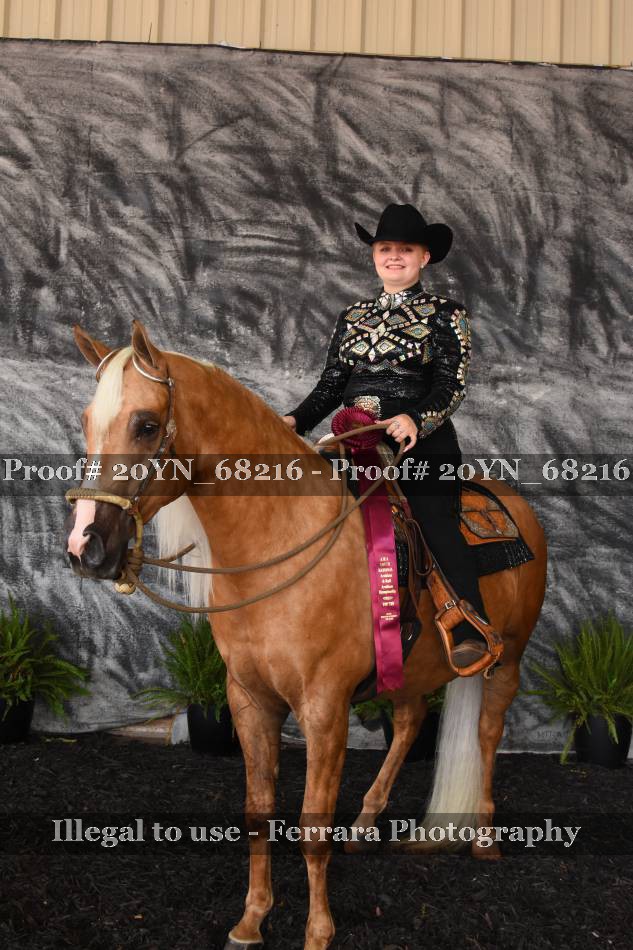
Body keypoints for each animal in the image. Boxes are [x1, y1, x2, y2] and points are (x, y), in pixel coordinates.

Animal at [64, 320, 547, 950]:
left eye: (146, 424)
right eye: (86, 421)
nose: (85, 547)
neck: (280, 541)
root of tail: (515, 507)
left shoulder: (323, 708)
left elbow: (312, 825)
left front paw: (318, 931)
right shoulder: (249, 700)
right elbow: (258, 811)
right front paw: (251, 920)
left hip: (507, 659)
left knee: (488, 733)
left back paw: (484, 840)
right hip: (410, 665)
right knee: (411, 721)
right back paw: (365, 824)